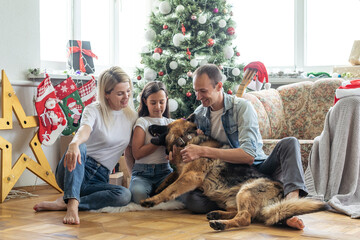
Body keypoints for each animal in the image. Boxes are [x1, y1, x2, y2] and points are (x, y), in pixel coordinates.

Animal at [139, 116, 328, 231]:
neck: (187, 139)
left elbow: (170, 189)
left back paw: (221, 224)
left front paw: (152, 200)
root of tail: (280, 196)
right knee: (239, 212)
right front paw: (158, 187)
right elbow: (169, 178)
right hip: (231, 198)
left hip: (245, 191)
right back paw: (217, 214)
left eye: (165, 124)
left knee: (245, 218)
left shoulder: (190, 176)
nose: (150, 125)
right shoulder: (182, 172)